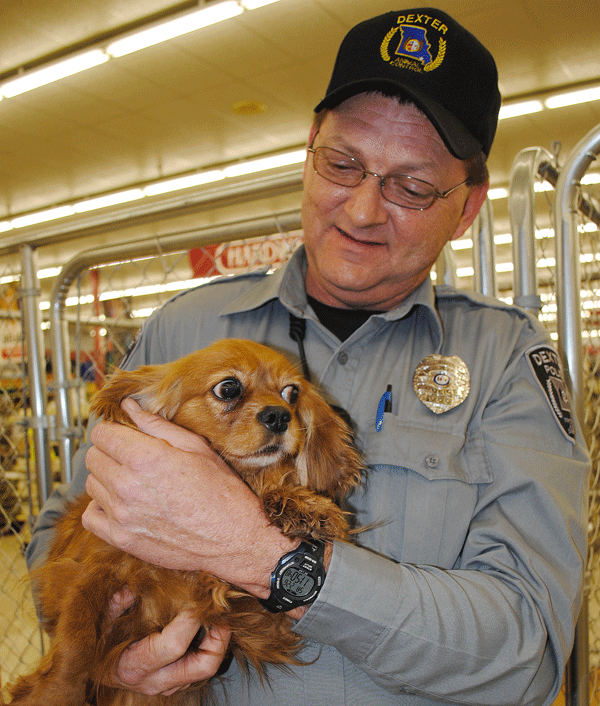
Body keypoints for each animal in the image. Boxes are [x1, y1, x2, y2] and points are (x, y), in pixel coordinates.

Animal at [5, 338, 360, 700]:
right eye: (228, 388)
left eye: (292, 393)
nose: (280, 416)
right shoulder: (87, 571)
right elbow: (76, 641)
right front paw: (52, 694)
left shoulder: (253, 619)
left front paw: (303, 506)